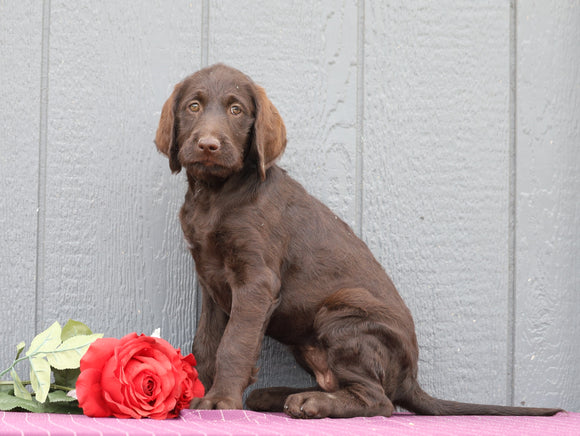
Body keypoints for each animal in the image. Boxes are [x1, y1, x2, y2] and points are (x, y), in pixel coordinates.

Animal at [154, 63, 560, 418]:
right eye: (193, 106)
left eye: (236, 109)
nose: (208, 145)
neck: (216, 194)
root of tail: (411, 378)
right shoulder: (212, 282)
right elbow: (206, 343)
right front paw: (205, 392)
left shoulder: (256, 281)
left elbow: (234, 342)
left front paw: (221, 399)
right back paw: (277, 396)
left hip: (343, 311)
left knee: (379, 401)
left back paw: (310, 403)